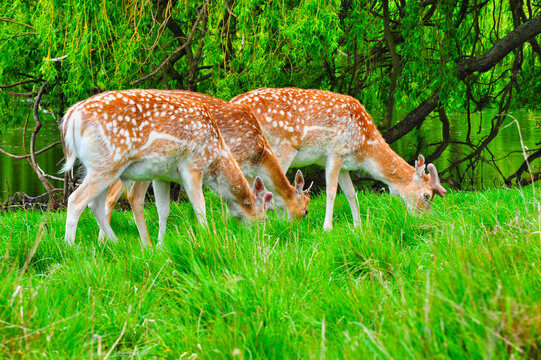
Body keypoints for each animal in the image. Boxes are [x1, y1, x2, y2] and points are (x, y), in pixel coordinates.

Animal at [60, 89, 272, 245]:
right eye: (263, 217)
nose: (260, 236)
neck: (215, 157)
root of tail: (71, 119)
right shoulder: (193, 166)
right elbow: (199, 207)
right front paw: (207, 238)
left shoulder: (163, 176)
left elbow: (163, 210)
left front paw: (160, 246)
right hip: (108, 163)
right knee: (76, 200)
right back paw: (71, 248)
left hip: (98, 167)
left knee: (95, 204)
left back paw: (116, 244)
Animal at [230, 88, 446, 231]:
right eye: (427, 195)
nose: (426, 220)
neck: (364, 148)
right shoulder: (335, 152)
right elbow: (332, 191)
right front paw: (328, 228)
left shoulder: (344, 163)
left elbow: (351, 192)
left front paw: (358, 226)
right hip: (279, 148)